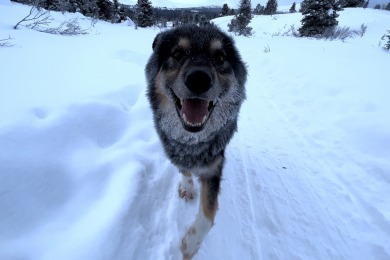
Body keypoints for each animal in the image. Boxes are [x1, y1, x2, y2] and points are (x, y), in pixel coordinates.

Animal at [146, 23, 247, 258]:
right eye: (177, 54)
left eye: (219, 57)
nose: (199, 79)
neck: (193, 140)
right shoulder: (174, 149)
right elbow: (184, 168)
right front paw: (187, 186)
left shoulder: (214, 164)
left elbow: (208, 215)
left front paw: (191, 243)